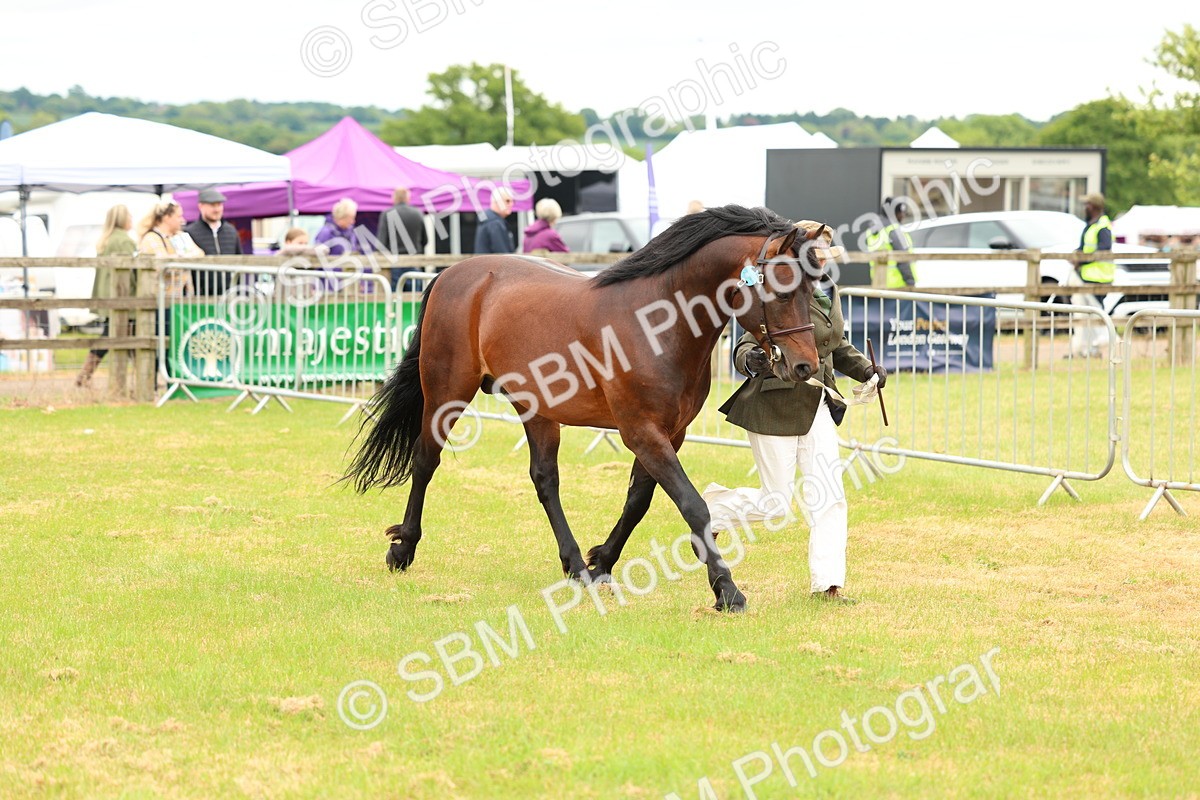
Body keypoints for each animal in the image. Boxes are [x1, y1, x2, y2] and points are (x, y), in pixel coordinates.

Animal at [346, 204, 825, 612]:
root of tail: (454, 273)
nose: (805, 366)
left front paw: (600, 563)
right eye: (784, 292)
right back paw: (403, 548)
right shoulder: (642, 432)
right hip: (447, 393)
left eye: (814, 289)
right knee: (426, 460)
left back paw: (574, 565)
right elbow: (692, 505)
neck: (657, 324)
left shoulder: (670, 433)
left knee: (545, 480)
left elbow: (638, 501)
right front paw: (727, 590)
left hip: (536, 409)